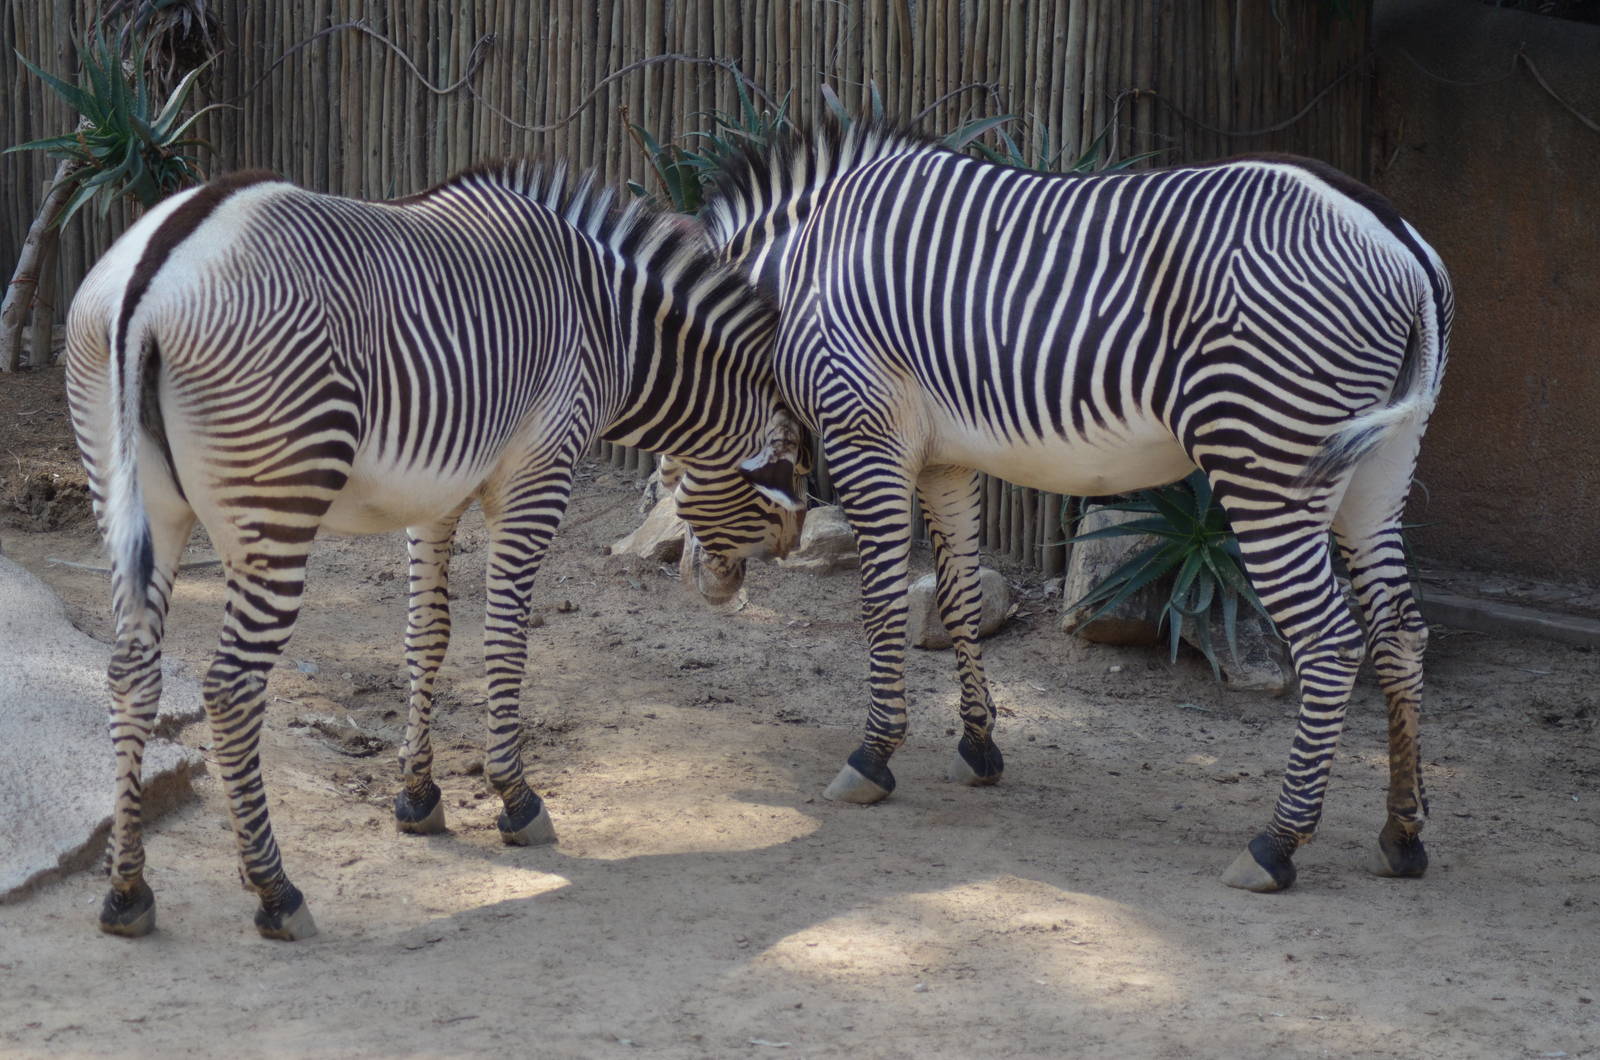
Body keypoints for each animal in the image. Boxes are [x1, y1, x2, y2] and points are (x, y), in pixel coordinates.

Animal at [64, 162, 806, 940]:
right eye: (786, 471)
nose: (739, 583)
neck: (608, 325)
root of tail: (155, 271)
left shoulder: (439, 494)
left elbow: (427, 634)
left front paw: (418, 796)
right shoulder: (539, 474)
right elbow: (505, 637)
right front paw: (516, 798)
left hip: (135, 502)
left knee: (130, 673)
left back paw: (127, 891)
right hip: (278, 503)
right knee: (231, 686)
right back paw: (275, 890)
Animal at [697, 123, 1452, 892]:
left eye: (675, 449)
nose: (710, 588)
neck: (802, 271)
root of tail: (1400, 243)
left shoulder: (866, 436)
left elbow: (881, 604)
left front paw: (873, 756)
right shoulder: (946, 459)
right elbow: (959, 598)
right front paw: (978, 747)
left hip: (1266, 458)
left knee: (1331, 640)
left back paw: (1276, 844)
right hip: (1381, 466)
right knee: (1401, 631)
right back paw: (1402, 834)